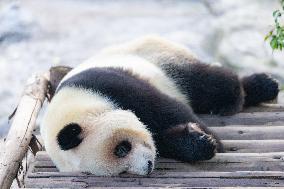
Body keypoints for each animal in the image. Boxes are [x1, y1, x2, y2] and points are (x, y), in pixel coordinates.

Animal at [40, 35, 280, 176]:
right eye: (122, 172)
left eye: (121, 149)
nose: (147, 166)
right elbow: (163, 140)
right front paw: (197, 143)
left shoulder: (108, 84)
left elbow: (167, 110)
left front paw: (213, 142)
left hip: (163, 60)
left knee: (208, 83)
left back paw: (253, 89)